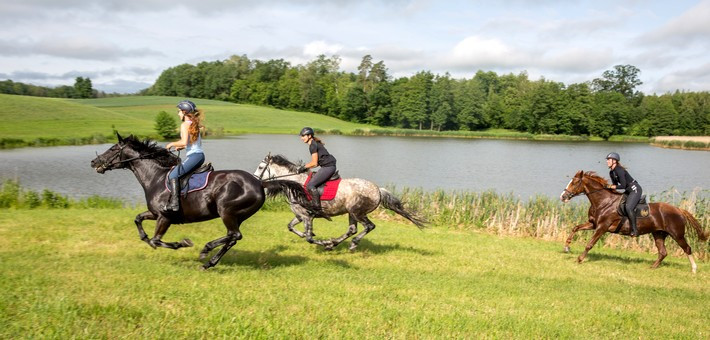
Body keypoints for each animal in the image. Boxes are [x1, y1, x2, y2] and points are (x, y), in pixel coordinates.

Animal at [92, 134, 308, 270]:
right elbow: (138, 219)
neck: (155, 177)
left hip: (226, 211)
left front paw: (182, 243)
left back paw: (206, 250)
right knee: (232, 237)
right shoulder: (154, 213)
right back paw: (208, 262)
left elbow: (157, 239)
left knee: (234, 235)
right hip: (237, 215)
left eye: (112, 148)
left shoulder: (165, 217)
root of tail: (259, 182)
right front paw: (144, 238)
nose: (94, 162)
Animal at [253, 154, 426, 250]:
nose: (255, 179)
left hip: (357, 211)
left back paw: (349, 244)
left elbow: (310, 238)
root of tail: (378, 189)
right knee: (352, 229)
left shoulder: (307, 216)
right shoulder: (300, 215)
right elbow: (290, 227)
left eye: (261, 167)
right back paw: (335, 243)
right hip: (351, 213)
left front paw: (322, 242)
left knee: (368, 227)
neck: (296, 183)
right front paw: (308, 235)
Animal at [564, 170, 708, 274]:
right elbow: (575, 228)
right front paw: (566, 247)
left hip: (677, 234)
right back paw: (653, 267)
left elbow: (590, 244)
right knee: (663, 252)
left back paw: (694, 269)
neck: (603, 201)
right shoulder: (594, 224)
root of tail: (679, 210)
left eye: (574, 183)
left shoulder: (602, 227)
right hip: (658, 233)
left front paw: (580, 259)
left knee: (687, 248)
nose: (563, 196)